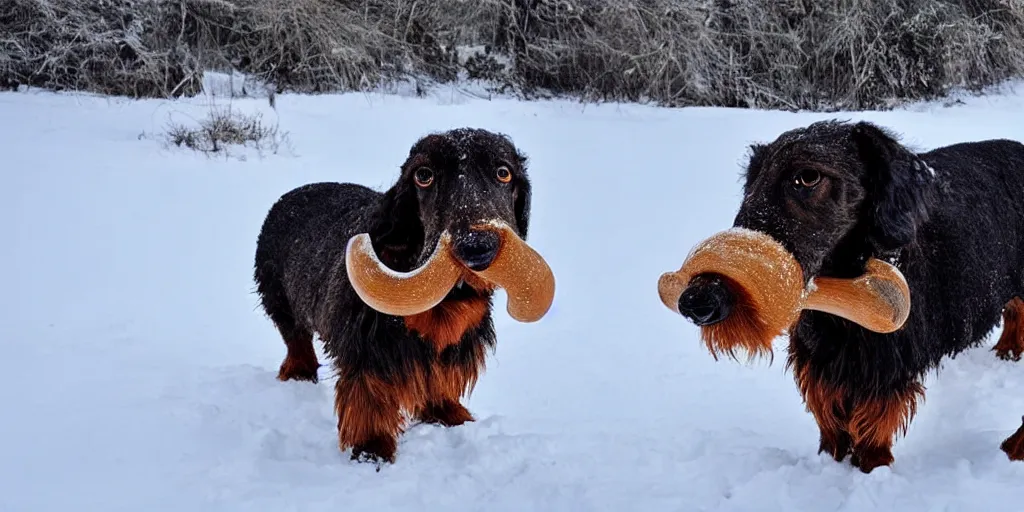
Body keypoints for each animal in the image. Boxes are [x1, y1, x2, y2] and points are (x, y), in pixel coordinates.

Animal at [679, 119, 1024, 471]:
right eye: (751, 177)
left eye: (808, 176)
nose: (697, 301)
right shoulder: (818, 361)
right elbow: (829, 419)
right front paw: (832, 461)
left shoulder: (885, 369)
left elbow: (873, 428)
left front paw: (870, 469)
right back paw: (1008, 351)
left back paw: (1014, 446)